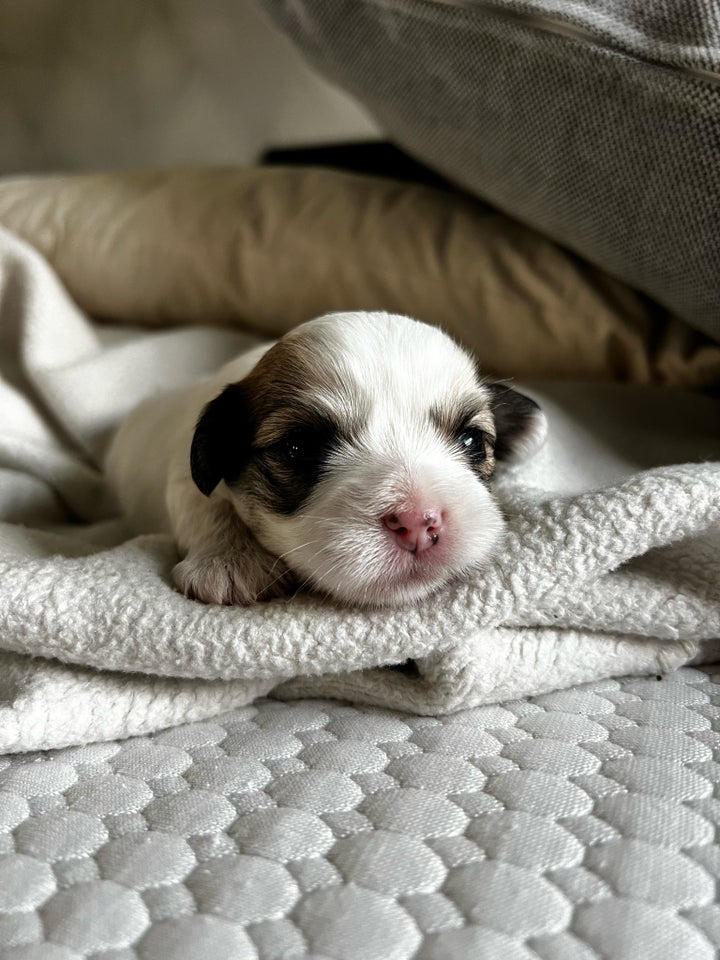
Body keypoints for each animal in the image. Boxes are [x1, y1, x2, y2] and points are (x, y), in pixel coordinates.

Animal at [105, 314, 544, 608]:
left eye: (472, 441)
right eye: (299, 449)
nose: (418, 521)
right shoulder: (185, 470)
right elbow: (201, 501)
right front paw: (229, 562)